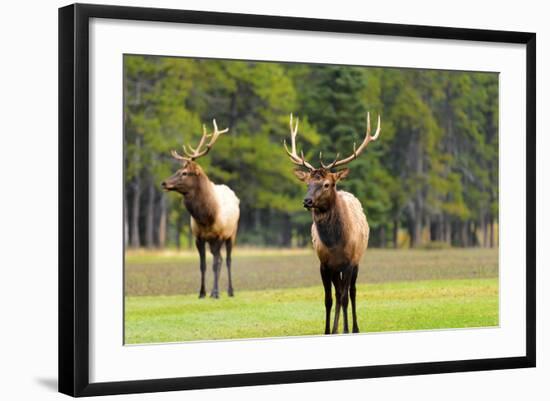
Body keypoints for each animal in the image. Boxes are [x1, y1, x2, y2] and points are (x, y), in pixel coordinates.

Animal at [164, 120, 242, 298]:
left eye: (185, 173)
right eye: (177, 170)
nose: (164, 183)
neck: (206, 217)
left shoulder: (219, 236)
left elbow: (215, 264)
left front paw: (216, 293)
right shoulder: (198, 237)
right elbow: (203, 265)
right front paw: (202, 293)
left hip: (231, 234)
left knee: (227, 260)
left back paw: (229, 291)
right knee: (220, 260)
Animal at [286, 113, 382, 334]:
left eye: (326, 184)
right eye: (307, 183)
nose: (307, 201)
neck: (335, 243)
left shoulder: (349, 263)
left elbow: (346, 297)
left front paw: (346, 329)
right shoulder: (324, 264)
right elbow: (329, 299)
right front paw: (328, 330)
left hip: (357, 261)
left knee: (352, 292)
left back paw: (354, 327)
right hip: (335, 269)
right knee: (338, 294)